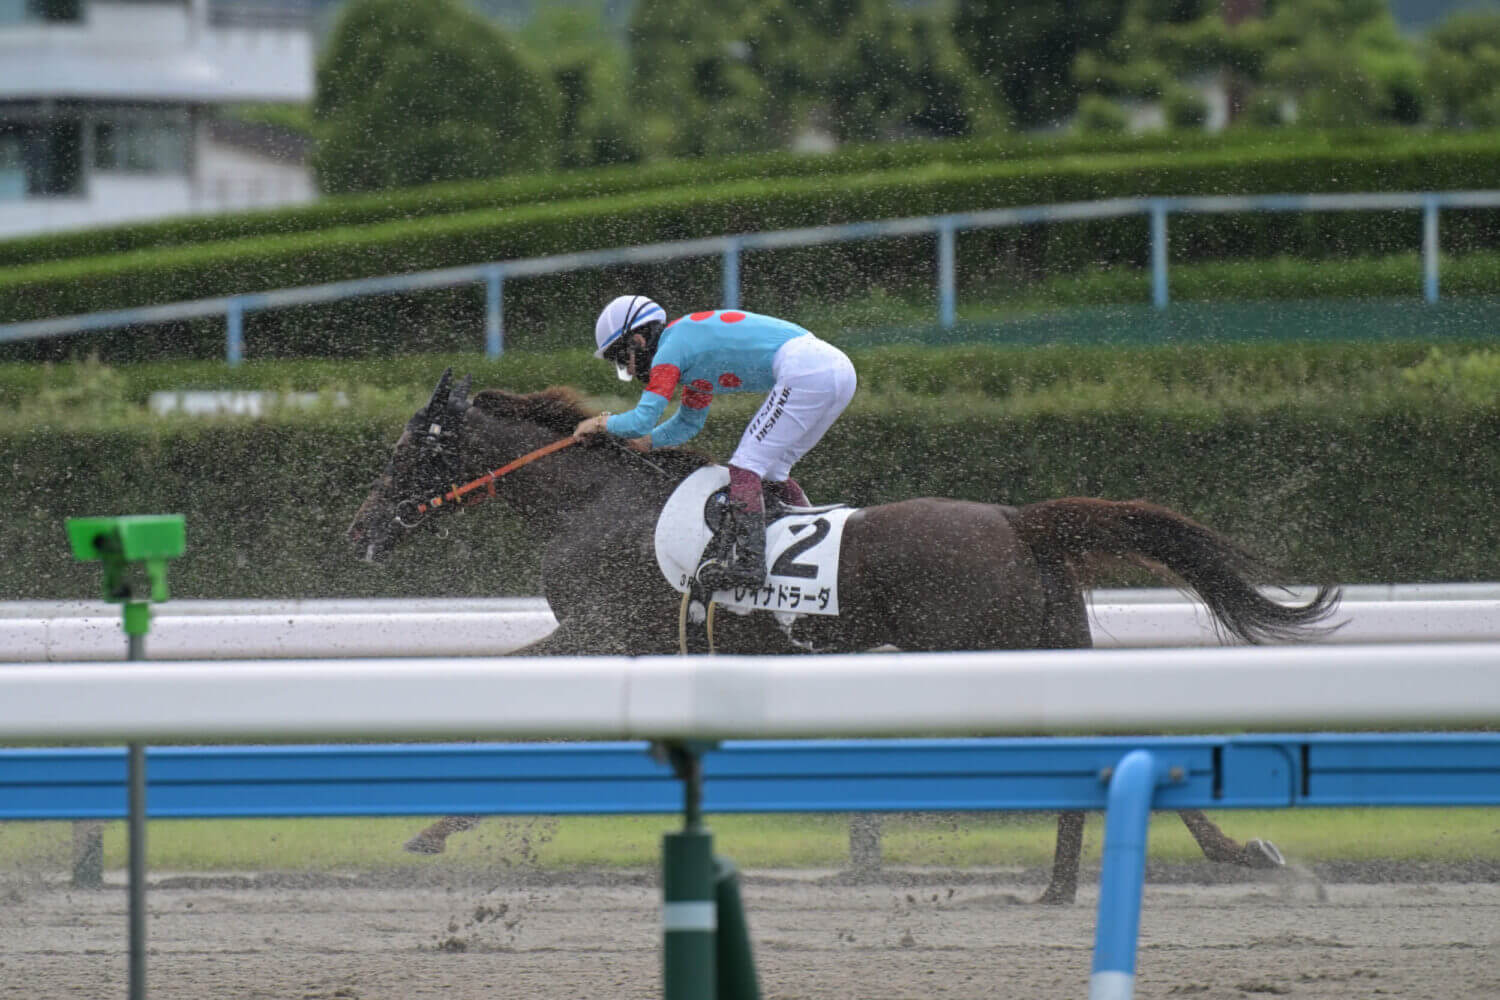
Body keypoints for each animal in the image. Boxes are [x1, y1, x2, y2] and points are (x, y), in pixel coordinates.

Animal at [348, 374, 1338, 905]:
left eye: (410, 450)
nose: (360, 530)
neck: (593, 503)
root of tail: (1020, 523)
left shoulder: (601, 632)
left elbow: (509, 701)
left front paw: (433, 827)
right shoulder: (626, 647)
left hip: (979, 656)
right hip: (1048, 646)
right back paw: (1199, 860)